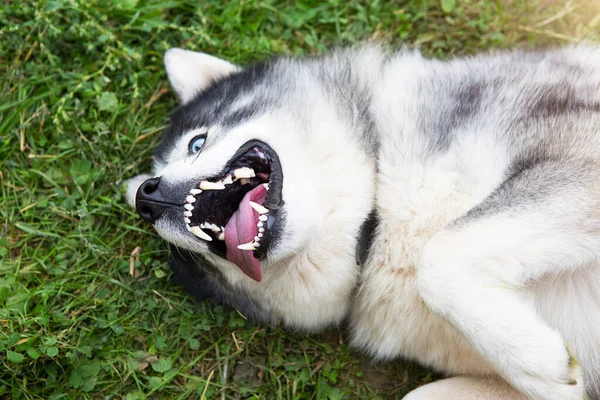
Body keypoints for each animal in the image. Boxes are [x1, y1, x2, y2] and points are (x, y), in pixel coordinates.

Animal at [126, 45, 600, 398]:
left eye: (197, 142)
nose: (146, 196)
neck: (376, 227)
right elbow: (419, 393)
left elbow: (441, 256)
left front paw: (536, 361)